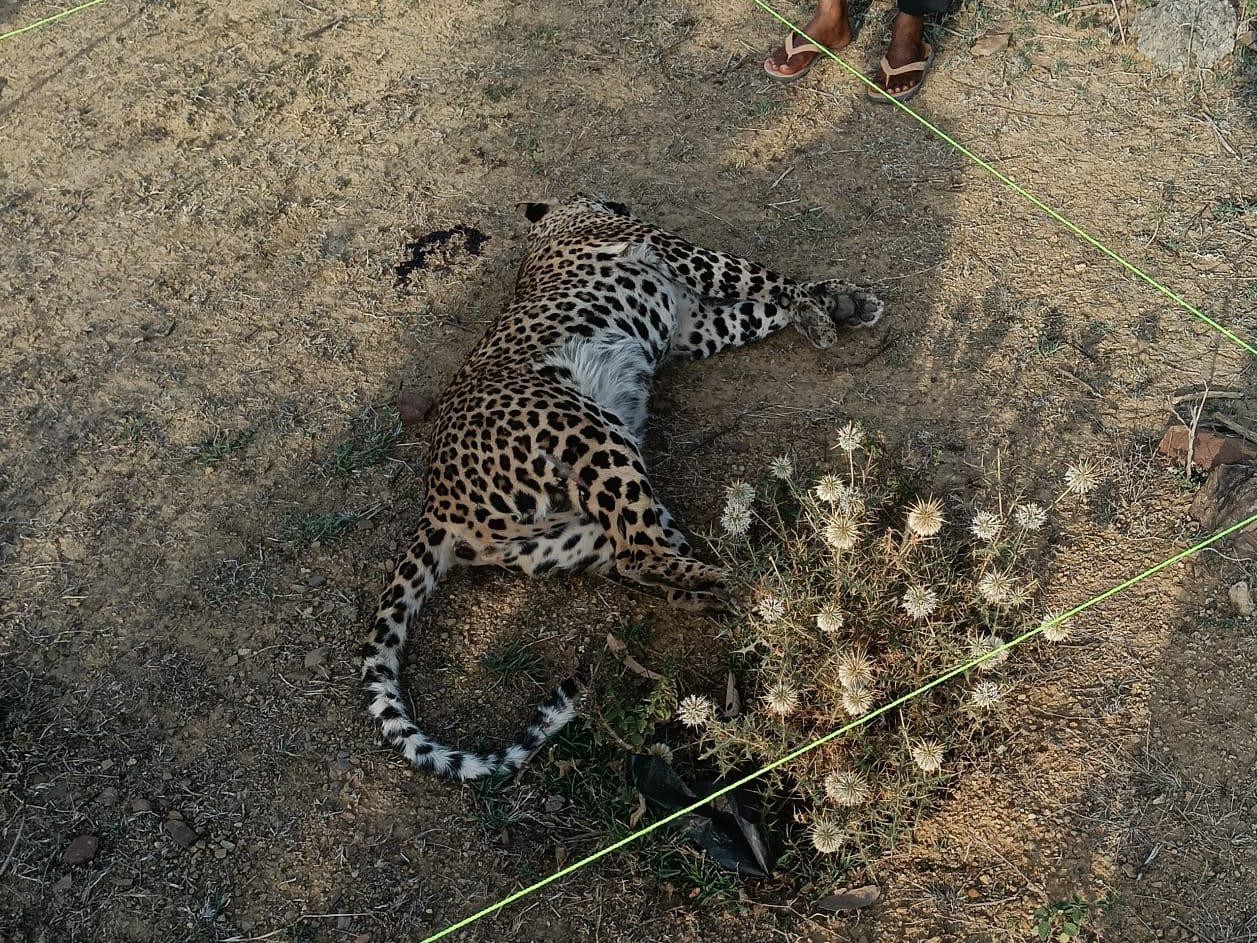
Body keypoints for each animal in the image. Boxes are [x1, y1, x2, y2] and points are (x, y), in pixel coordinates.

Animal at [361, 195, 884, 781]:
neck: (557, 219)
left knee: (654, 571)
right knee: (642, 556)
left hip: (579, 531)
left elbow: (761, 306)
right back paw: (758, 580)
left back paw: (757, 598)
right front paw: (824, 310)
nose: (620, 202)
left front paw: (843, 302)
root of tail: (436, 505)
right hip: (588, 431)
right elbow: (767, 279)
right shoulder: (675, 254)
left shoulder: (696, 324)